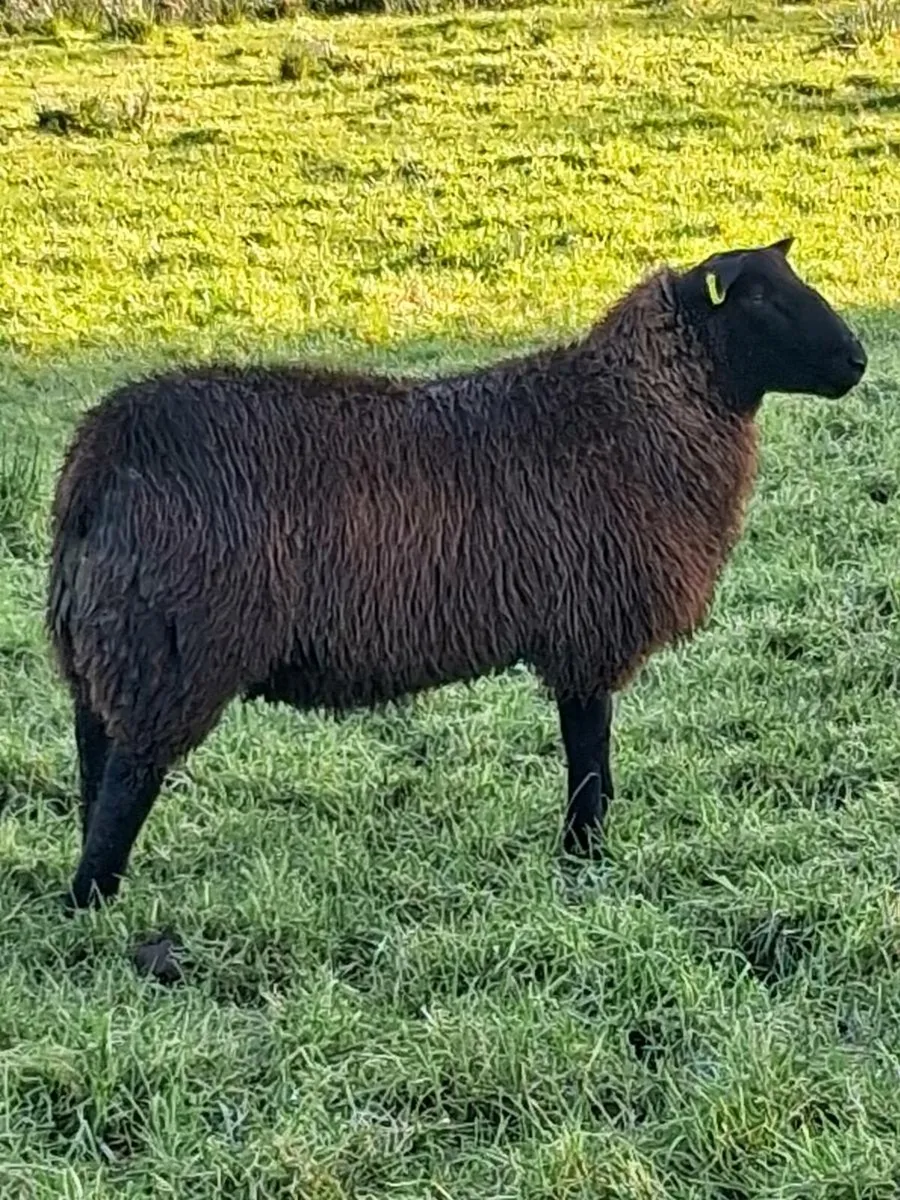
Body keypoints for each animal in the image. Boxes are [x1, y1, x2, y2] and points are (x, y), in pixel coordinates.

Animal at [47, 237, 867, 914]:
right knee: (128, 780)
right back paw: (94, 906)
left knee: (96, 756)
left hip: (105, 641)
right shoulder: (585, 632)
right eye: (756, 296)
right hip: (172, 649)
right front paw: (587, 860)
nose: (858, 360)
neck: (625, 417)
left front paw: (587, 856)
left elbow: (591, 760)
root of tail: (101, 450)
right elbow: (589, 761)